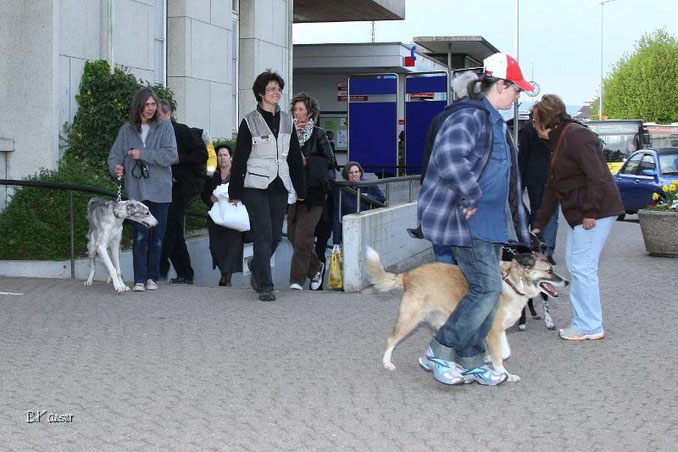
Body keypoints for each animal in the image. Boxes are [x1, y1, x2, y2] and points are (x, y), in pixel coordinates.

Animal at [366, 247, 568, 382]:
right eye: (549, 271)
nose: (566, 282)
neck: (511, 282)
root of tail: (408, 274)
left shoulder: (499, 331)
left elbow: (505, 352)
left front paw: (488, 359)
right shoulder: (494, 331)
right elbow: (499, 356)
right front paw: (503, 374)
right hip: (410, 319)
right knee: (391, 340)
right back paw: (387, 363)